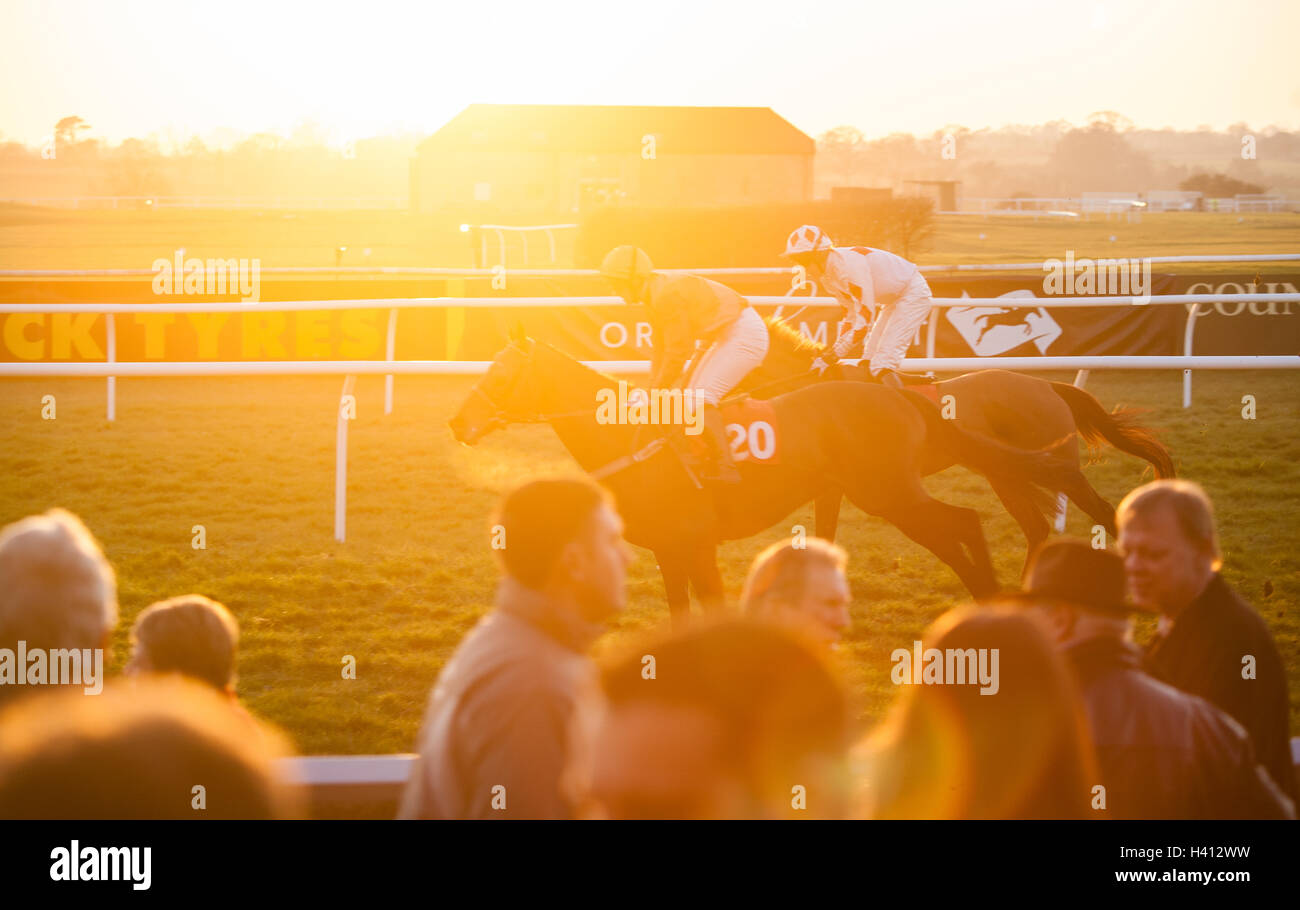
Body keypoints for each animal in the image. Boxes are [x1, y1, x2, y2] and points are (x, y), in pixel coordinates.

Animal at [452, 327, 1081, 626]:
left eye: (502, 375)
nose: (458, 421)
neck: (635, 441)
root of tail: (897, 395)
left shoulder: (697, 545)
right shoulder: (668, 552)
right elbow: (682, 614)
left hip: (891, 492)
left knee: (966, 522)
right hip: (890, 493)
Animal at [743, 315, 1180, 564]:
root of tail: (1049, 386)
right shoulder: (831, 485)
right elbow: (825, 532)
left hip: (1051, 466)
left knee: (1098, 509)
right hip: (1005, 475)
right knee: (1036, 528)